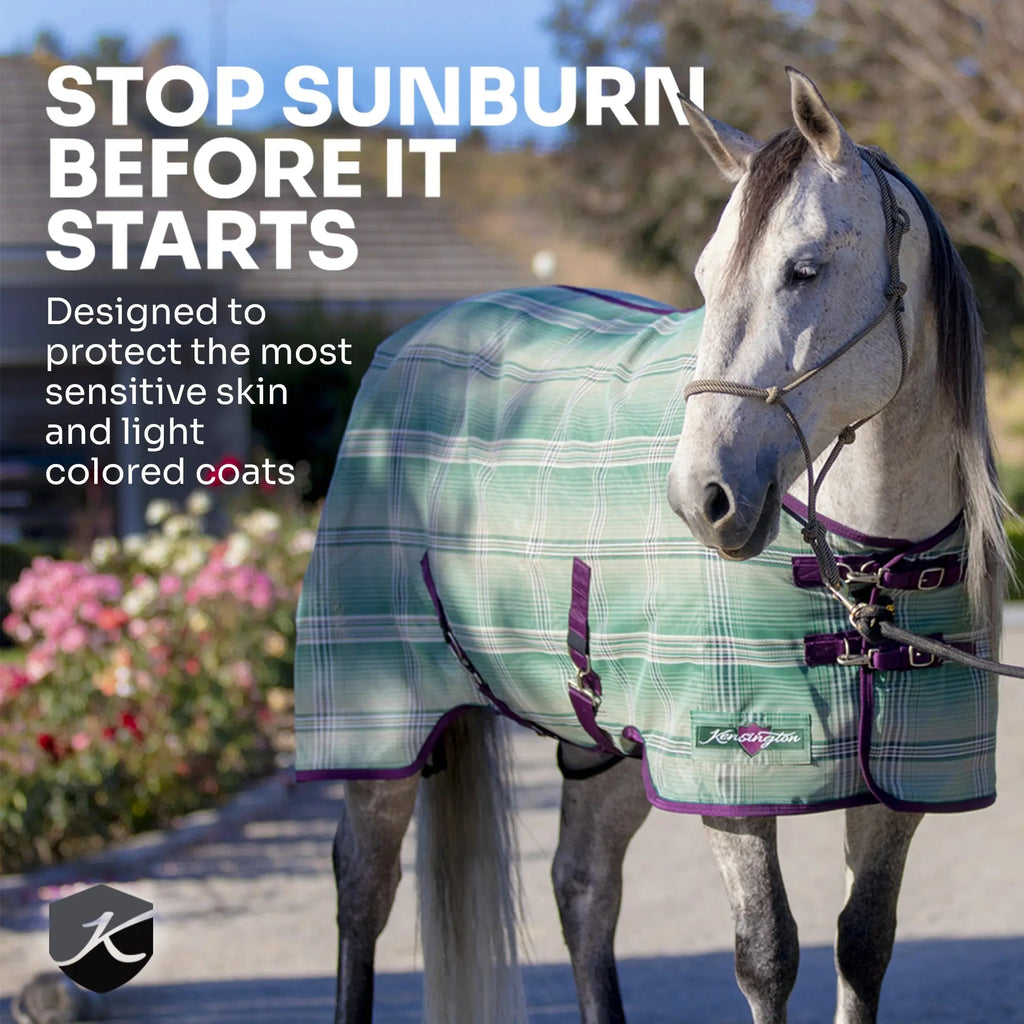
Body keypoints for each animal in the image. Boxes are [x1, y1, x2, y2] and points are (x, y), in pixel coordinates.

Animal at [293, 68, 1010, 1024]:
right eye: (706, 275)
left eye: (805, 268)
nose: (702, 498)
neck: (863, 574)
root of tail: (411, 339)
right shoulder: (728, 778)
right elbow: (767, 956)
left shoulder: (902, 788)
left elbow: (863, 945)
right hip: (381, 725)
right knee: (362, 889)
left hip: (601, 738)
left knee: (583, 888)